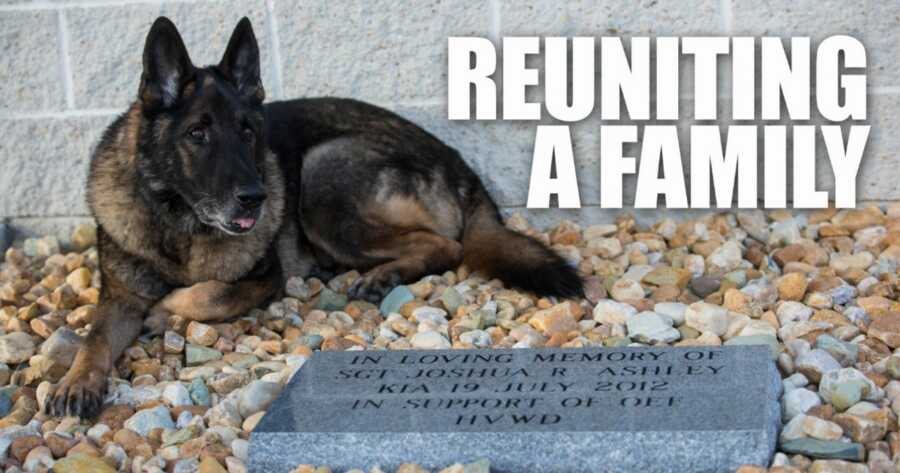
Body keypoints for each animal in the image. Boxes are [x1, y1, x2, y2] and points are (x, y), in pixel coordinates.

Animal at [47, 17, 584, 416]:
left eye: (247, 131)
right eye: (198, 134)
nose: (256, 197)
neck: (178, 223)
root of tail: (459, 163)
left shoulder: (263, 279)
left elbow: (209, 294)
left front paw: (166, 309)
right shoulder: (118, 300)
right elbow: (94, 339)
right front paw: (76, 382)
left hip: (322, 175)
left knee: (445, 245)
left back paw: (383, 275)